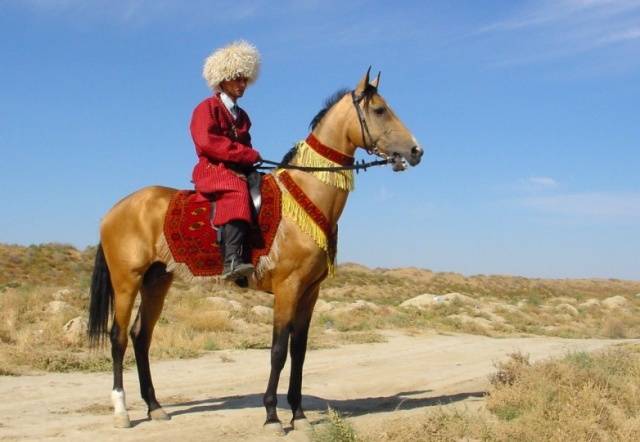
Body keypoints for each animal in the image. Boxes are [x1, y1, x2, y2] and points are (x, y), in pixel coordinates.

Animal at [87, 69, 422, 432]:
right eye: (380, 110)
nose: (416, 150)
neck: (306, 195)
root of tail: (114, 210)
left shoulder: (310, 292)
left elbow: (299, 351)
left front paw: (299, 414)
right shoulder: (288, 288)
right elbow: (278, 350)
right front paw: (273, 416)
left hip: (156, 281)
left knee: (141, 336)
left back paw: (154, 406)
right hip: (126, 281)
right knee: (119, 337)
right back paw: (122, 411)